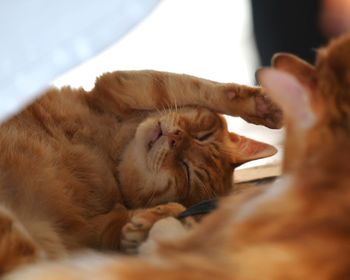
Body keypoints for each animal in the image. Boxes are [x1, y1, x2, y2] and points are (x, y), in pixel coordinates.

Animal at [0, 69, 282, 274]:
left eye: (185, 170)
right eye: (201, 135)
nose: (175, 137)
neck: (111, 152)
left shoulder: (84, 231)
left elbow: (173, 211)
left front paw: (145, 226)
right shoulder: (117, 88)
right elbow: (193, 85)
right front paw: (260, 105)